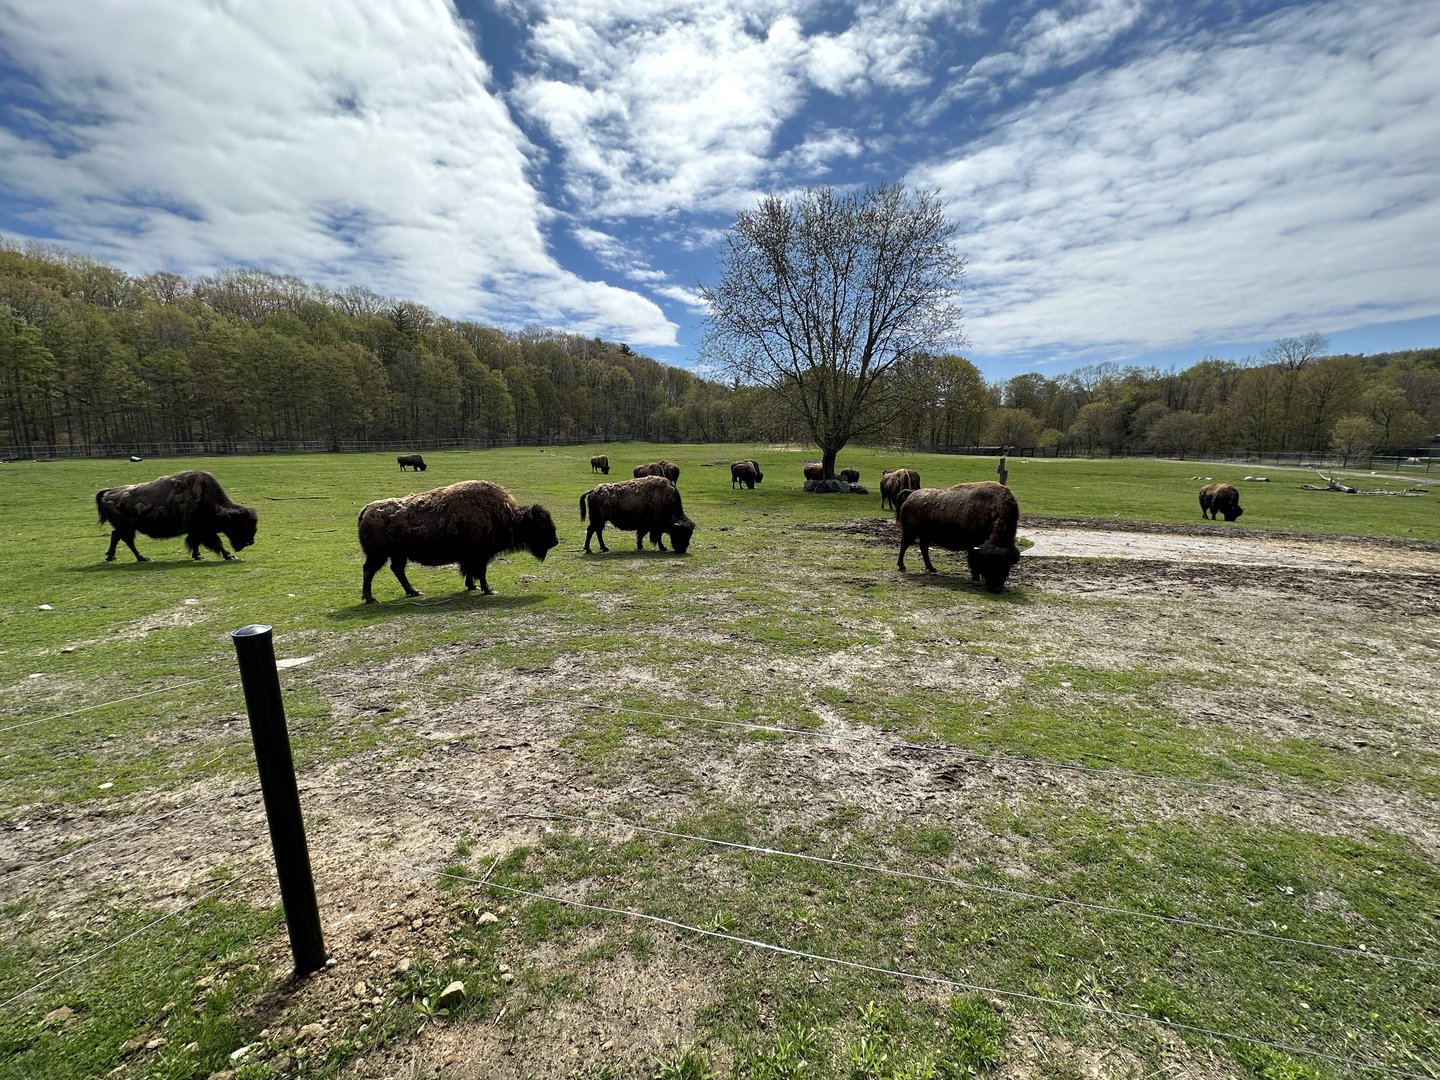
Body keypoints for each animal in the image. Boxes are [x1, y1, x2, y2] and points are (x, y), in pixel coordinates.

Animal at [96, 470, 257, 563]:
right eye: (240, 524)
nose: (250, 542)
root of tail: (108, 494)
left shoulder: (196, 531)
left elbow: (195, 543)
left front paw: (198, 556)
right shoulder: (203, 531)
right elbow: (216, 543)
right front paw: (229, 556)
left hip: (125, 527)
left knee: (116, 536)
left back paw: (111, 557)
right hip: (127, 528)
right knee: (127, 540)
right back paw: (143, 558)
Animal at [358, 480, 558, 603]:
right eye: (541, 525)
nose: (555, 541)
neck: (506, 517)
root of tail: (366, 509)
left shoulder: (471, 557)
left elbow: (470, 572)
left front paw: (472, 586)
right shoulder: (480, 556)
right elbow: (481, 572)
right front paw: (488, 589)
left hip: (397, 555)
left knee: (397, 570)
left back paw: (414, 592)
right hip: (378, 555)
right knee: (369, 571)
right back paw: (371, 599)